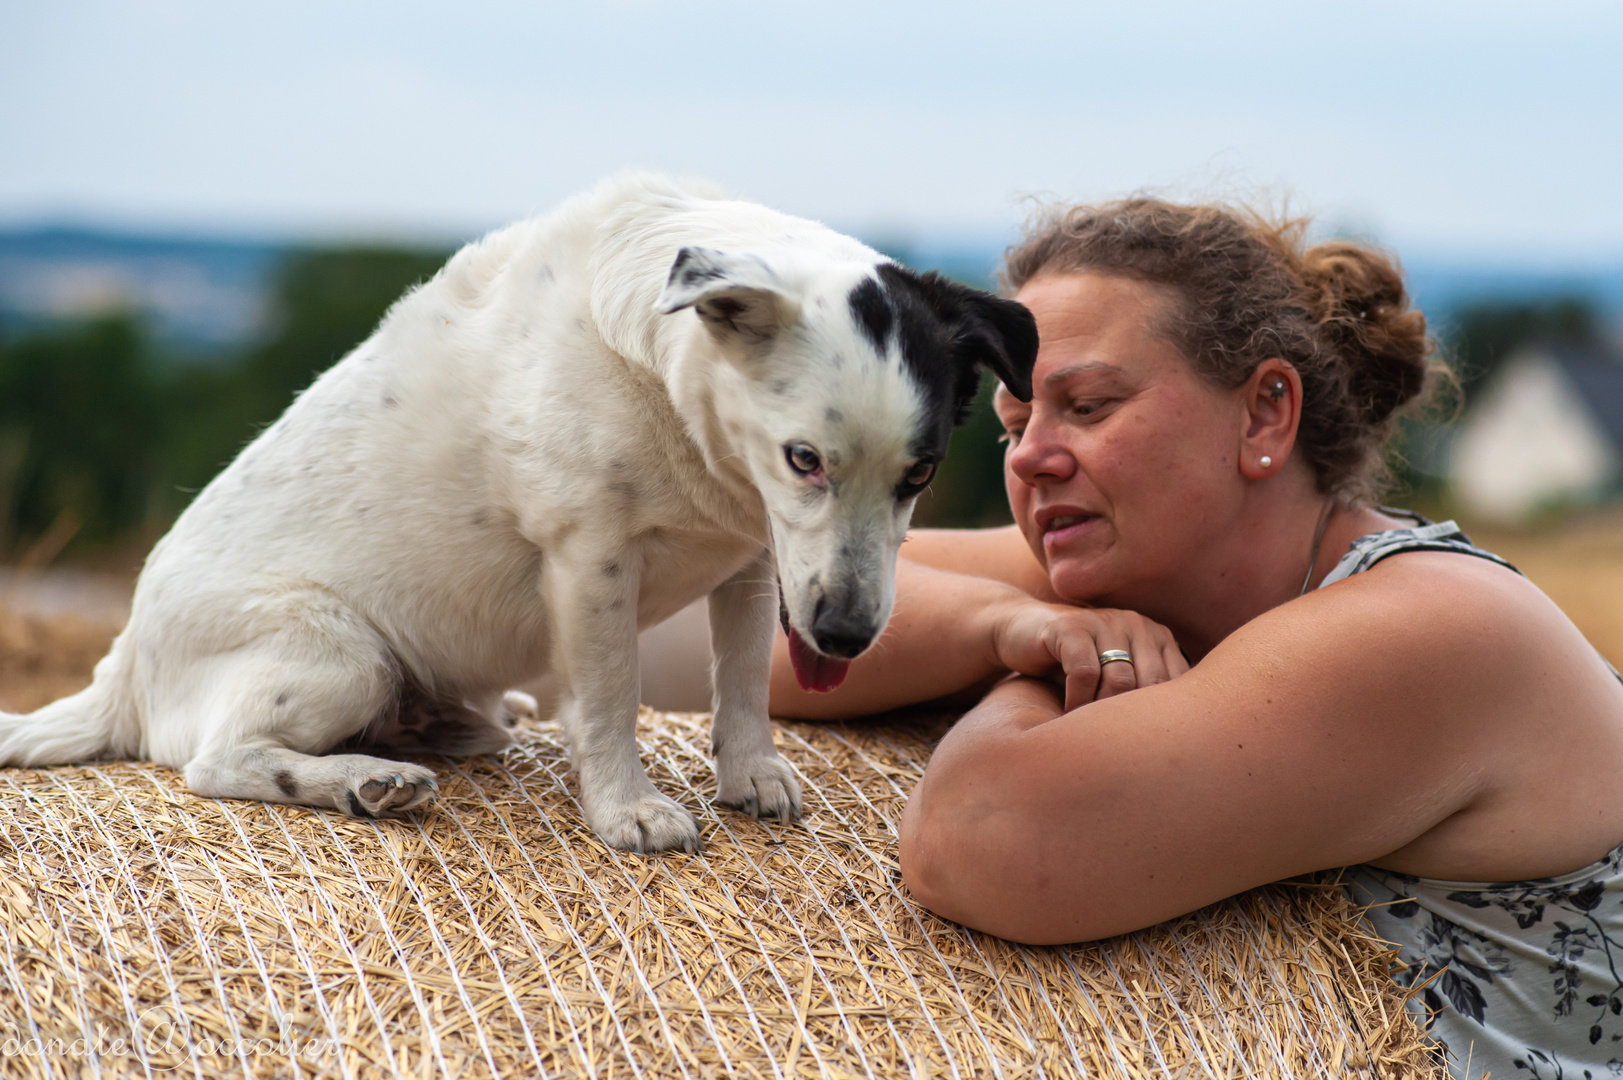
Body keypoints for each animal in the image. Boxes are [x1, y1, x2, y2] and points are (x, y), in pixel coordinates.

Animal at [0, 177, 1038, 851]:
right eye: (804, 459)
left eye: (920, 473)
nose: (848, 635)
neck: (672, 399)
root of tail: (120, 668)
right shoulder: (591, 557)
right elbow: (613, 695)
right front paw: (626, 809)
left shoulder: (753, 559)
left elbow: (742, 678)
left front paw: (751, 774)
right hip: (336, 651)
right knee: (215, 762)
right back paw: (364, 781)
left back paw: (434, 732)